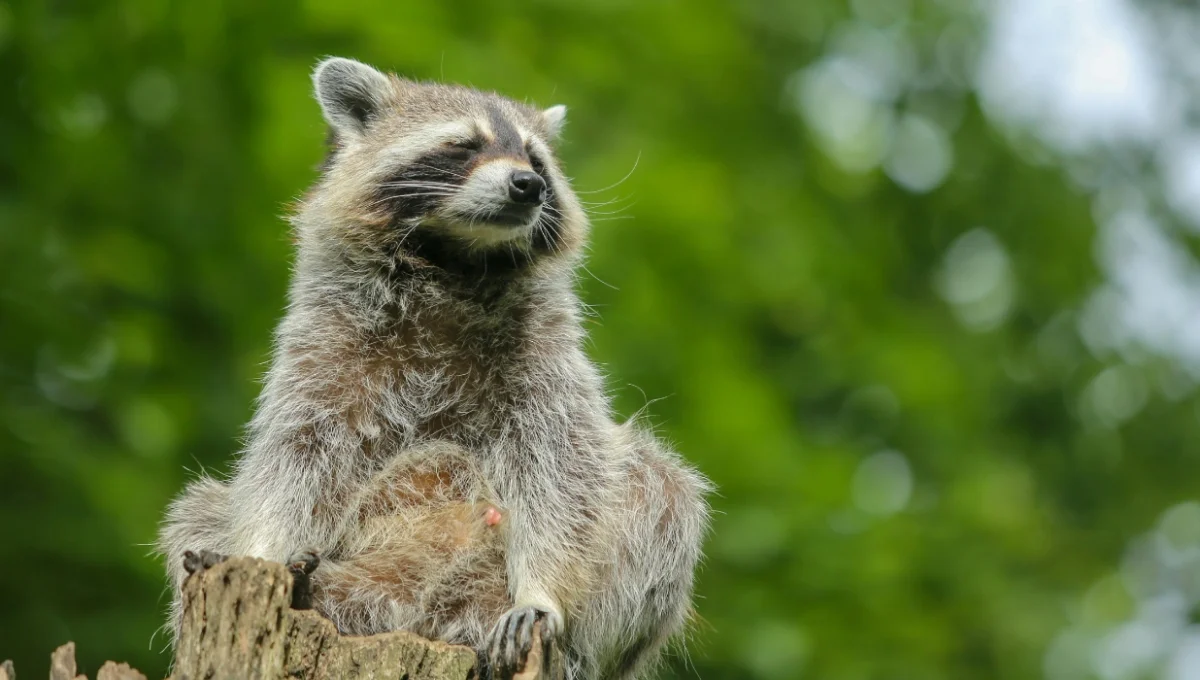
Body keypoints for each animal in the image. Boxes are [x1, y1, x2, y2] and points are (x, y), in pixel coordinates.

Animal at [159, 57, 712, 680]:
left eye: (535, 158)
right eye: (464, 145)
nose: (528, 184)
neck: (457, 257)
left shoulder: (544, 357)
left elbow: (562, 470)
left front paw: (543, 591)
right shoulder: (324, 345)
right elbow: (295, 456)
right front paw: (261, 548)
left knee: (660, 491)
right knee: (201, 509)